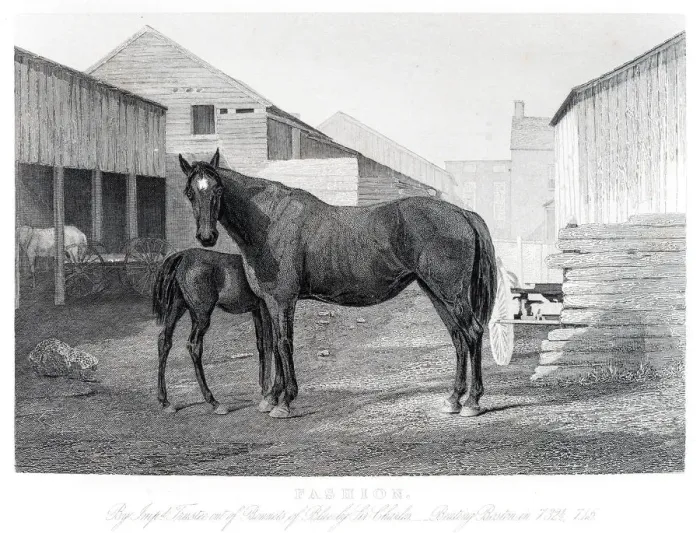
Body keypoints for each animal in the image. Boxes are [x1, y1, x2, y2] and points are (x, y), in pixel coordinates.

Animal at [152, 248, 273, 415]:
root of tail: (183, 256)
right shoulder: (265, 306)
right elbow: (268, 344)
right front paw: (267, 393)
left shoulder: (256, 310)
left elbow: (260, 344)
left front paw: (262, 389)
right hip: (201, 315)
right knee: (194, 346)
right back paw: (214, 402)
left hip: (178, 307)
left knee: (164, 340)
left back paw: (165, 401)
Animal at [178, 150, 498, 419]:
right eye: (190, 193)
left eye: (218, 189)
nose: (206, 237)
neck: (270, 222)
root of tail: (462, 213)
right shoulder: (269, 302)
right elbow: (274, 345)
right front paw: (271, 398)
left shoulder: (283, 299)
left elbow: (283, 344)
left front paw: (285, 402)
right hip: (435, 292)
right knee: (457, 337)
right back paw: (453, 399)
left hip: (452, 293)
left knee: (472, 332)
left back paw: (472, 402)